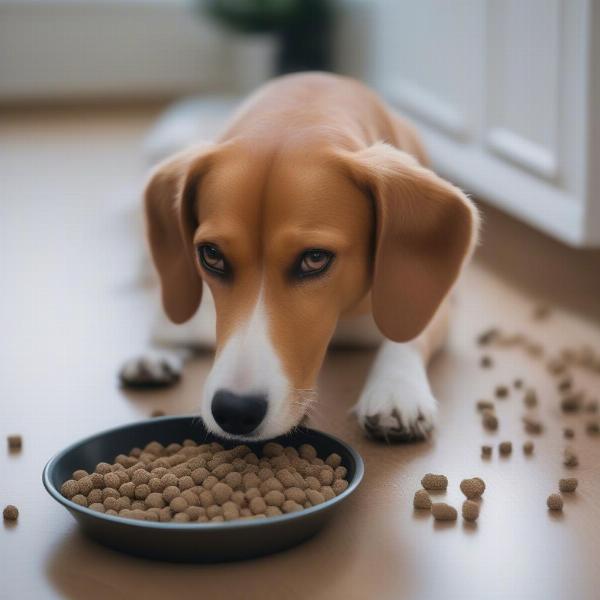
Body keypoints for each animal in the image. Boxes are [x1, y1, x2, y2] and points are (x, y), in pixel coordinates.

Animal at [122, 72, 478, 442]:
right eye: (212, 255)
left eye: (315, 258)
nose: (234, 410)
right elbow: (173, 319)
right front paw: (156, 345)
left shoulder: (438, 303)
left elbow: (406, 335)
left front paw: (396, 389)